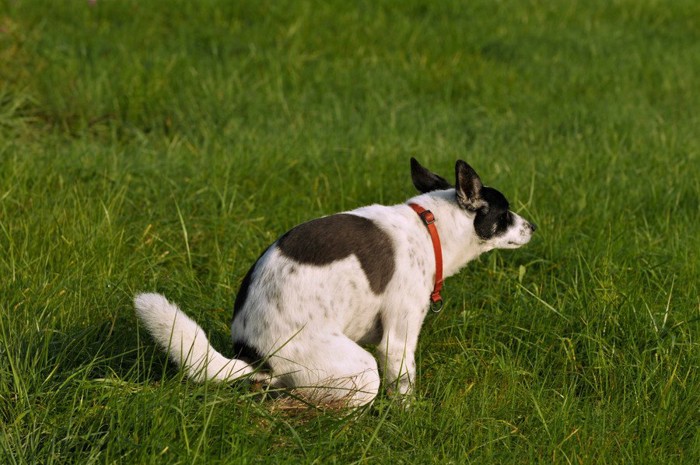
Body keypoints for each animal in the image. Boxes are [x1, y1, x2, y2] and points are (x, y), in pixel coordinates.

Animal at [133, 159, 536, 406]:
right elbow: (404, 388)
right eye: (505, 214)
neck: (429, 226)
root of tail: (252, 353)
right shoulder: (398, 341)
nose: (532, 226)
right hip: (358, 369)